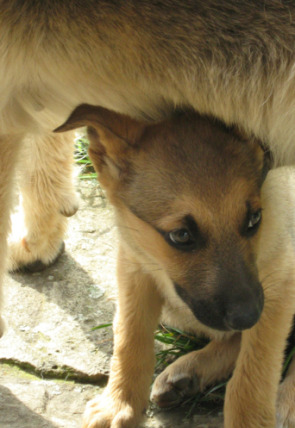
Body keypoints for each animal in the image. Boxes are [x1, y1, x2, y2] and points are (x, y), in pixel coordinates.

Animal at [56, 103, 295, 428]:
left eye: (254, 219)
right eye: (181, 235)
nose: (248, 316)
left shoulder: (280, 279)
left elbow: (253, 371)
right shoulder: (134, 264)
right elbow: (130, 335)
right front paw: (119, 402)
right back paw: (186, 374)